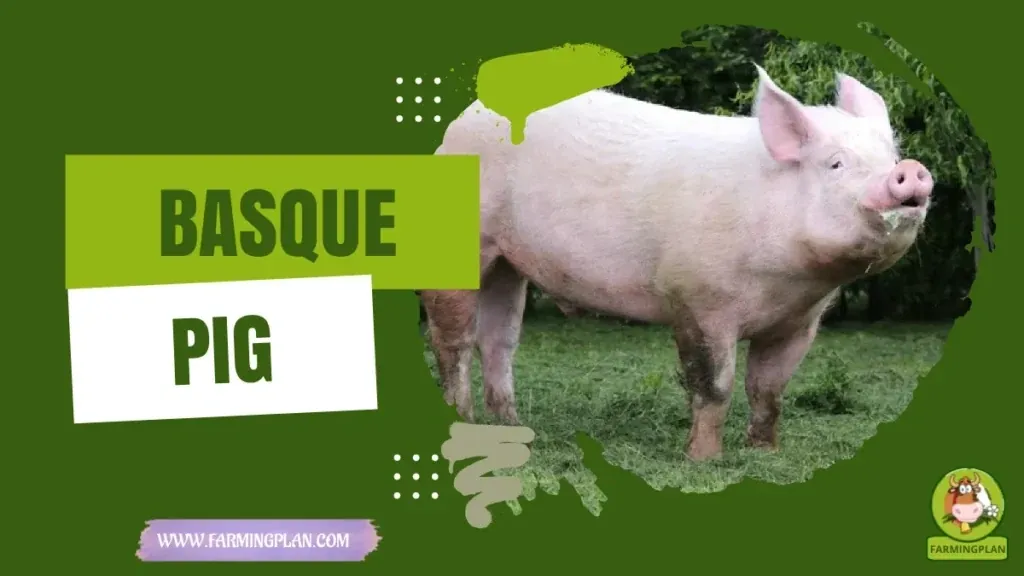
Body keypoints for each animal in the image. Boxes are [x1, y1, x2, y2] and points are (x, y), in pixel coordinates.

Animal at [421, 64, 934, 461]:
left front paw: (766, 453)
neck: (788, 282)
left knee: (499, 340)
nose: (909, 170)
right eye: (836, 164)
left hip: (508, 262)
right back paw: (463, 421)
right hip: (460, 247)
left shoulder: (800, 321)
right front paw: (704, 460)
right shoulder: (698, 298)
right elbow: (714, 384)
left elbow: (769, 388)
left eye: (887, 154)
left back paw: (514, 427)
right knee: (452, 339)